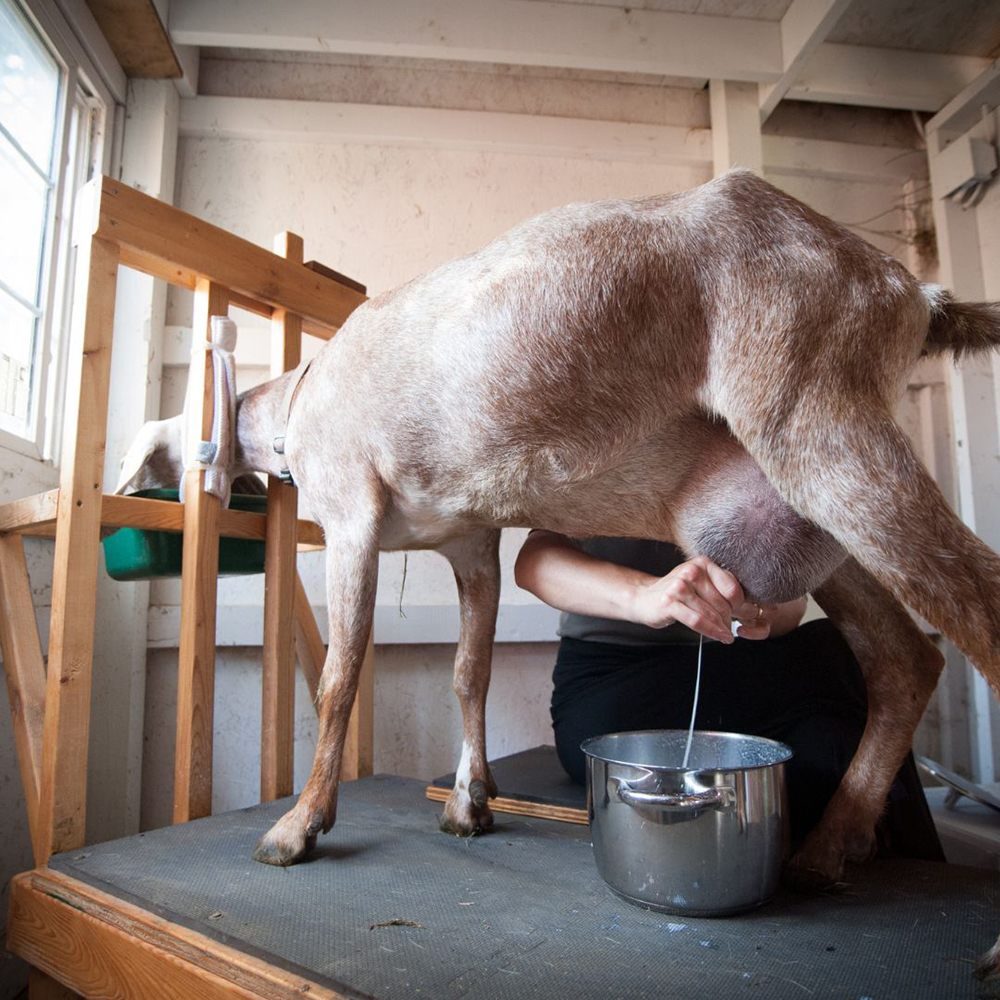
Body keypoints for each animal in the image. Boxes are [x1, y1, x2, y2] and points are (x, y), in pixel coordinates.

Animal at [121, 170, 1000, 976]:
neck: (303, 399)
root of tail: (908, 289)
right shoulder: (472, 543)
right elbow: (469, 672)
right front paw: (470, 804)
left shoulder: (350, 518)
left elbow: (341, 678)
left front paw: (296, 827)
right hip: (815, 506)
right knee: (905, 658)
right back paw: (825, 850)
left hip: (818, 425)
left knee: (977, 610)